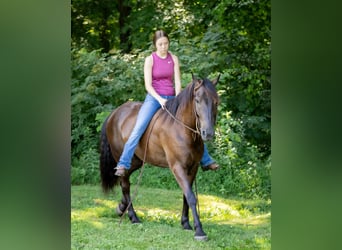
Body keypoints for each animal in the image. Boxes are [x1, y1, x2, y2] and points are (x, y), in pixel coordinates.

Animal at [99, 73, 222, 240]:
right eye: (197, 100)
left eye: (216, 102)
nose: (207, 133)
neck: (181, 129)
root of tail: (114, 114)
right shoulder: (177, 167)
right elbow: (191, 197)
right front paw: (199, 231)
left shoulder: (192, 168)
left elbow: (186, 195)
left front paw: (186, 224)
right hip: (123, 158)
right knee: (125, 185)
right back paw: (133, 217)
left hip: (137, 161)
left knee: (124, 181)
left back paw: (121, 207)